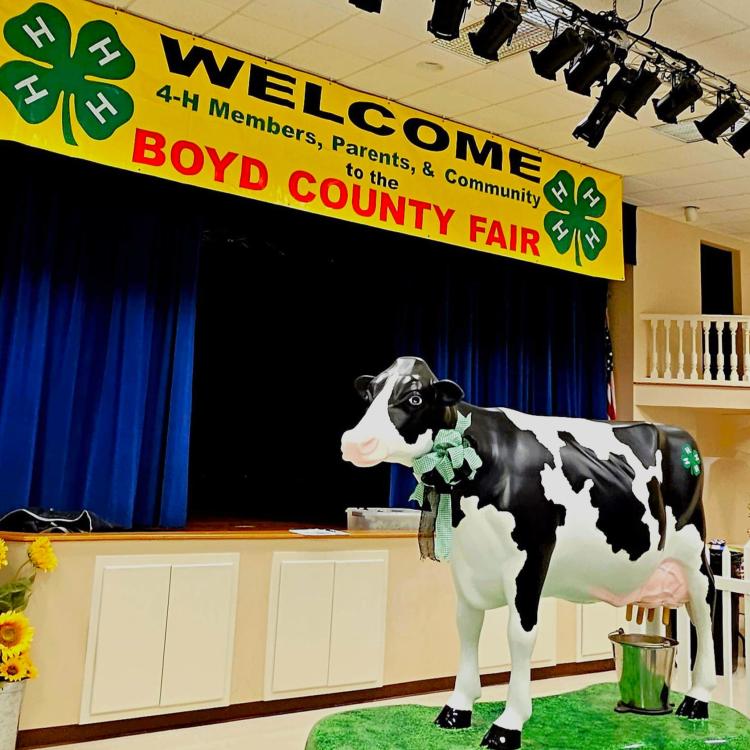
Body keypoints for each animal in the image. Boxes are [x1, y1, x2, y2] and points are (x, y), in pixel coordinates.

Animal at [340, 358, 716, 750]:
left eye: (414, 397)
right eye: (370, 393)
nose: (354, 442)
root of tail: (678, 433)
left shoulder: (532, 557)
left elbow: (519, 637)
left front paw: (509, 723)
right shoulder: (466, 565)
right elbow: (467, 628)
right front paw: (458, 707)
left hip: (694, 551)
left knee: (704, 611)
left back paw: (697, 699)